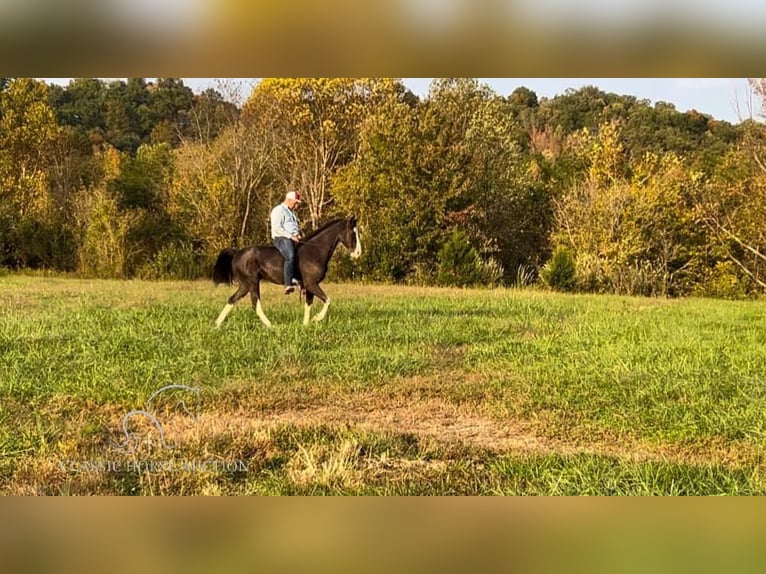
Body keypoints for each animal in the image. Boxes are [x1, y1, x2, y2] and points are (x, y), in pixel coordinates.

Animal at [213, 216, 364, 328]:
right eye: (353, 233)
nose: (358, 253)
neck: (314, 251)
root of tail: (237, 253)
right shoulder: (311, 284)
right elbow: (327, 300)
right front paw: (316, 319)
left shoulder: (309, 287)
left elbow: (308, 305)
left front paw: (305, 325)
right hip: (252, 283)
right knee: (255, 304)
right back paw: (271, 325)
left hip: (245, 285)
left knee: (232, 300)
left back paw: (217, 324)